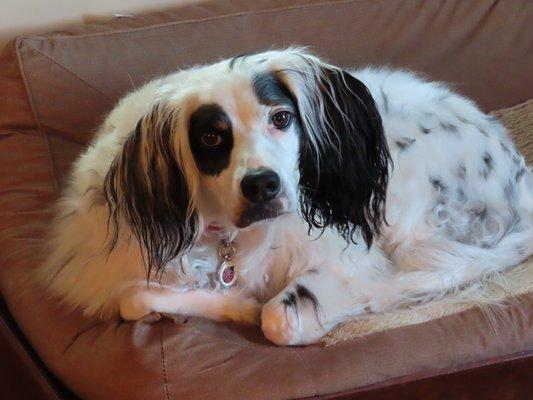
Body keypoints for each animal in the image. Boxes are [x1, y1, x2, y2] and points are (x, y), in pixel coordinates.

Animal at [40, 48, 532, 346]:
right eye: (212, 138)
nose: (263, 185)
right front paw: (237, 308)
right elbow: (134, 299)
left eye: (281, 118)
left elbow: (279, 317)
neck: (226, 238)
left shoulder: (354, 257)